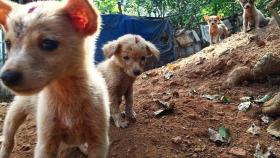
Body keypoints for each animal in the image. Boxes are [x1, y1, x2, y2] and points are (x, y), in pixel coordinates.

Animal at [0, 0, 110, 157]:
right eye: (8, 43)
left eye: (48, 43)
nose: (6, 77)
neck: (66, 93)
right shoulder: (46, 141)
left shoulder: (99, 138)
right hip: (17, 109)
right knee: (8, 139)